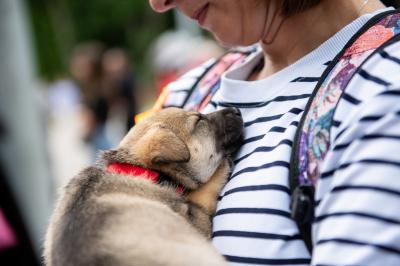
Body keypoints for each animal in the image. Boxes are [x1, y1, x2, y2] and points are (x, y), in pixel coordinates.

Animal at [44, 107, 244, 264]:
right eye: (199, 120)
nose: (237, 110)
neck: (139, 169)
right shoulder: (196, 220)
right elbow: (203, 193)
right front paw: (223, 165)